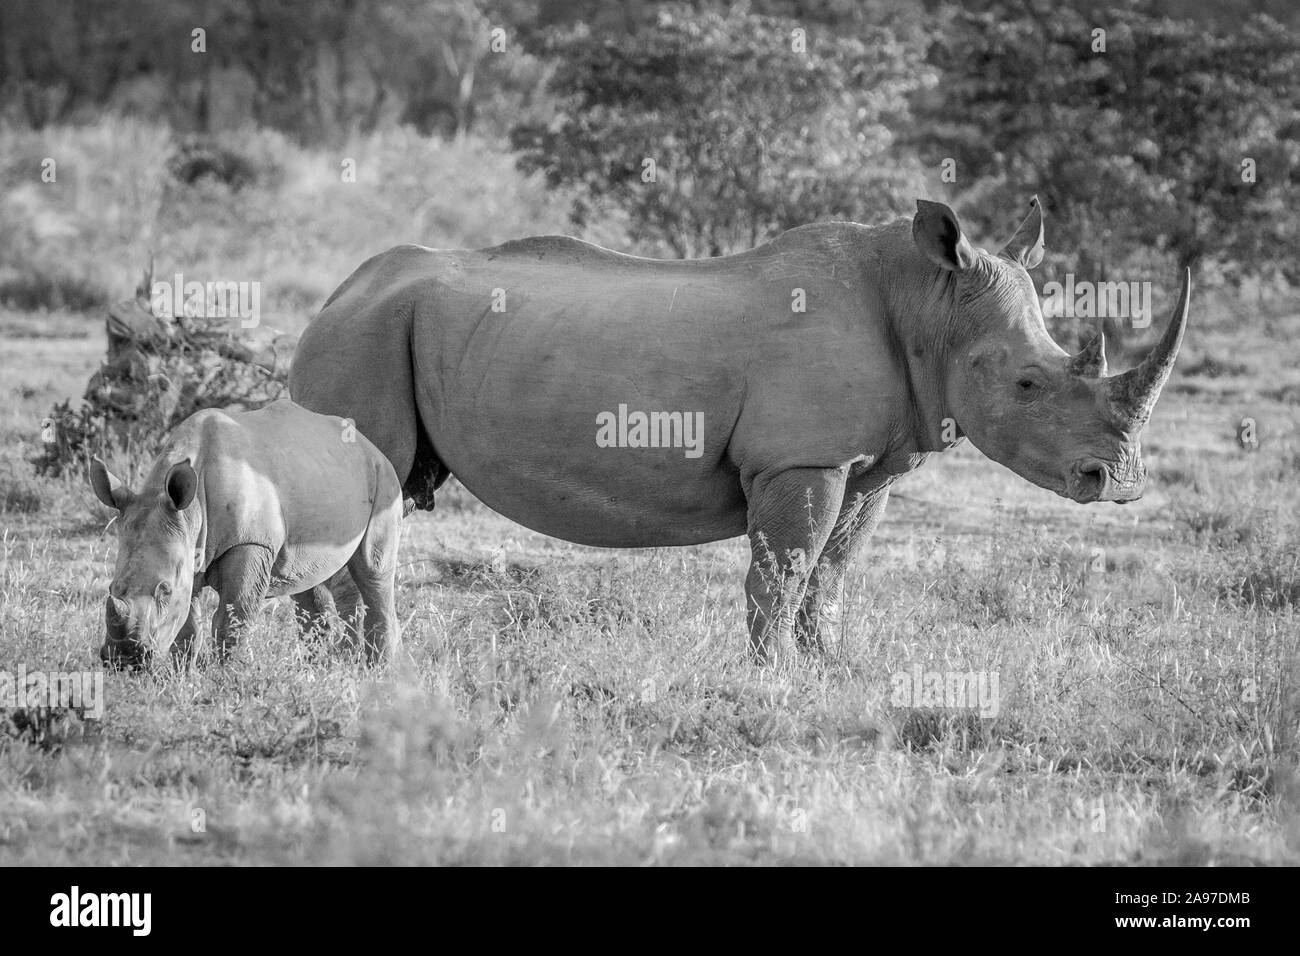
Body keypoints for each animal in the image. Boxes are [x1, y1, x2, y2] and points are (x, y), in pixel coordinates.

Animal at [91, 400, 400, 671]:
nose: (124, 661)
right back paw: (326, 668)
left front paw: (227, 676)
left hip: (383, 478)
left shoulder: (250, 542)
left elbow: (232, 619)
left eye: (164, 589)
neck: (191, 511)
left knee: (373, 572)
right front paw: (181, 675)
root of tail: (368, 444)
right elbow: (188, 626)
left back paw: (377, 672)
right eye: (111, 588)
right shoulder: (188, 548)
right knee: (309, 580)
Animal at [292, 195, 1190, 658]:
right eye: (1029, 381)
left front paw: (828, 671)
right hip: (364, 335)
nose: (1117, 482)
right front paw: (773, 678)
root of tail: (336, 292)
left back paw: (330, 665)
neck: (926, 304)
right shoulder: (801, 459)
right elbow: (782, 574)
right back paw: (361, 669)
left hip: (377, 328)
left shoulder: (865, 466)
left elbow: (830, 577)